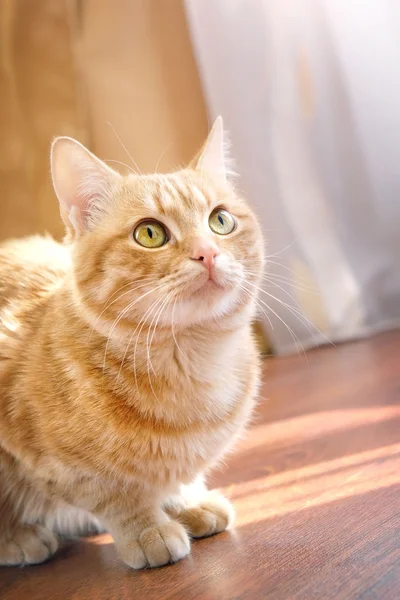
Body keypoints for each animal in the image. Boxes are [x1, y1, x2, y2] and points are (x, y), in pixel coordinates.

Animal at [0, 117, 264, 568]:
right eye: (150, 233)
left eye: (221, 221)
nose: (208, 253)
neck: (193, 362)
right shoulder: (52, 460)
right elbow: (113, 494)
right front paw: (147, 529)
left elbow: (173, 475)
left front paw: (186, 501)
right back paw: (19, 537)